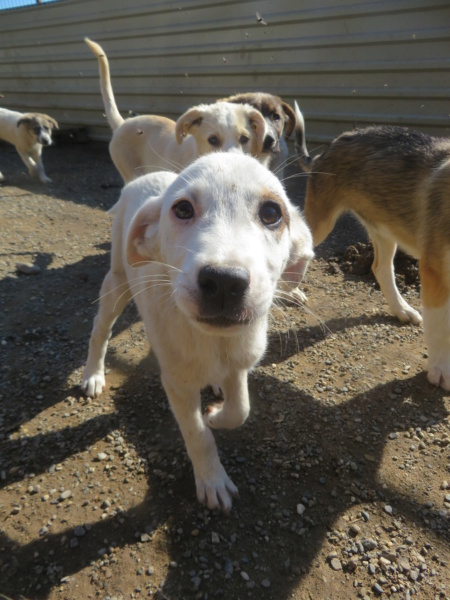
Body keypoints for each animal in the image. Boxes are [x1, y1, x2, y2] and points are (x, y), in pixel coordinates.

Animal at [81, 151, 312, 510]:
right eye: (183, 209)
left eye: (272, 213)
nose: (224, 282)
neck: (215, 341)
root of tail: (145, 178)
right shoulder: (177, 383)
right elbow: (198, 435)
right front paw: (213, 480)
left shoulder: (240, 361)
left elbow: (241, 408)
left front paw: (216, 415)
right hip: (116, 282)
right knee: (99, 331)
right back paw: (93, 373)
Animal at [296, 101, 450, 392]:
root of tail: (329, 147)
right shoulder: (434, 270)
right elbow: (439, 327)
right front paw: (441, 370)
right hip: (319, 223)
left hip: (384, 229)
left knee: (380, 268)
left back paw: (401, 309)